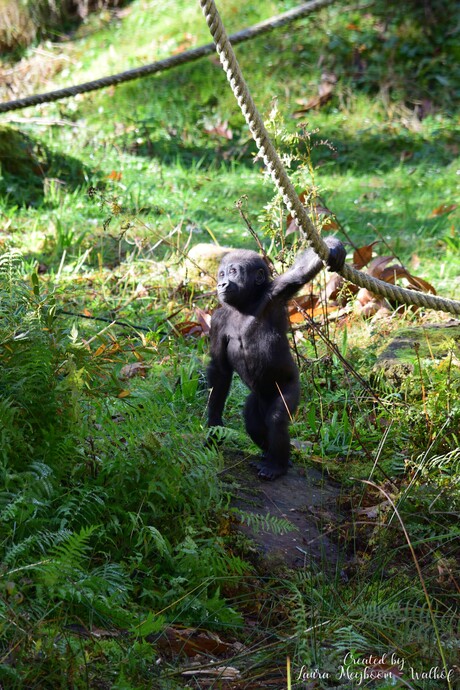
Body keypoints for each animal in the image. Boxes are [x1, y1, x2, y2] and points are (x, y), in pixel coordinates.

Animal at [207, 237, 346, 480]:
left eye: (233, 272)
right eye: (221, 274)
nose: (222, 284)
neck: (245, 304)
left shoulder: (274, 293)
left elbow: (300, 273)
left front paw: (332, 245)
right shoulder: (217, 320)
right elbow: (220, 371)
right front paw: (214, 422)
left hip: (290, 388)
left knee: (277, 418)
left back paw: (277, 464)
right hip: (258, 399)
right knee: (253, 421)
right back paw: (271, 455)